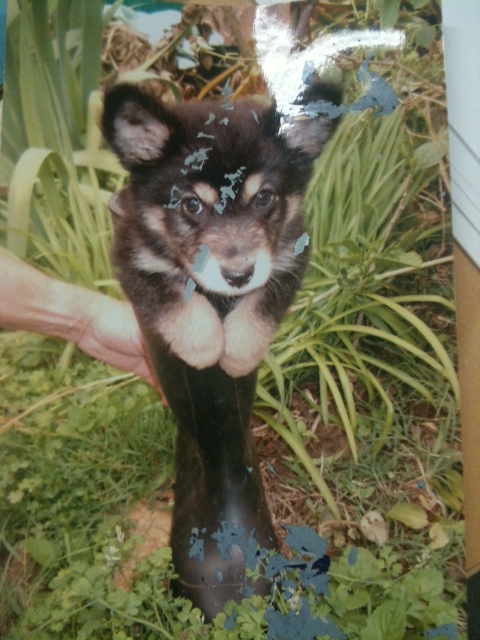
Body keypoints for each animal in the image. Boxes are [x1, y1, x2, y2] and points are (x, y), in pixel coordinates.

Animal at [102, 82, 340, 378]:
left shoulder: (292, 259)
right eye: (192, 204)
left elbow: (261, 308)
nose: (239, 277)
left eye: (263, 197)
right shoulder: (132, 258)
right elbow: (173, 298)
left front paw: (238, 357)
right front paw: (204, 347)